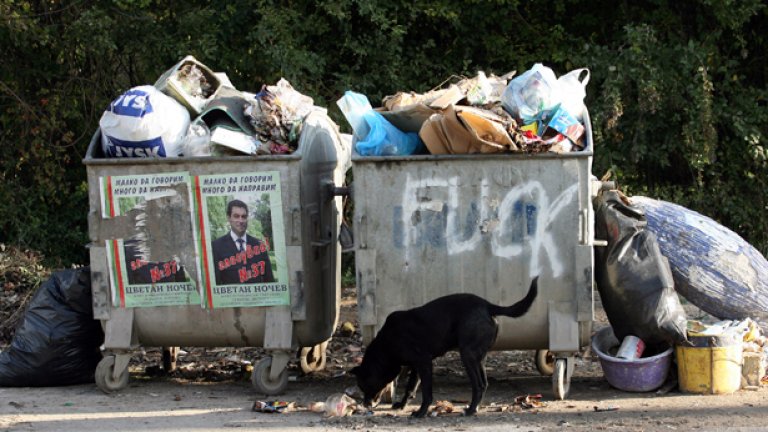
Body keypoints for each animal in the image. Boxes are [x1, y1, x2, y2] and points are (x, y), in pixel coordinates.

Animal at [352, 278, 536, 416]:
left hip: (467, 355)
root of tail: (487, 305)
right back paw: (474, 408)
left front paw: (421, 412)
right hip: (479, 358)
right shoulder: (416, 366)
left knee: (478, 385)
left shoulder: (424, 363)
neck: (387, 344)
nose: (365, 404)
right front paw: (402, 405)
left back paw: (470, 410)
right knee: (484, 383)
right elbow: (410, 388)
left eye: (363, 385)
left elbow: (427, 392)